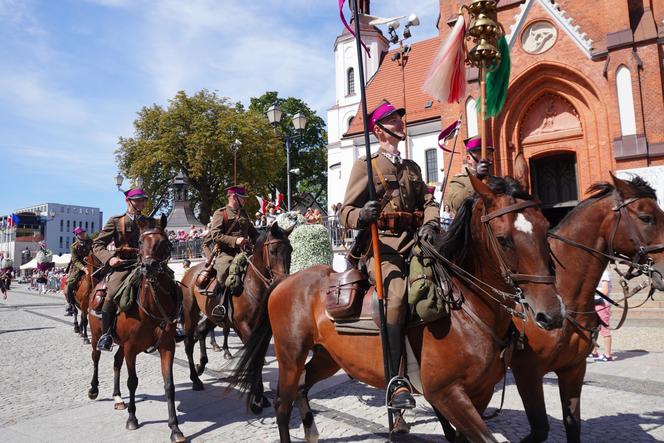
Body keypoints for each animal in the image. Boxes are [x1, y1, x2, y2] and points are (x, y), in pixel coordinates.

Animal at [87, 216, 187, 443]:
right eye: (141, 242)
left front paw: (175, 428)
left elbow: (169, 385)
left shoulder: (167, 347)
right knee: (96, 357)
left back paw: (117, 397)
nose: (149, 266)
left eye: (164, 242)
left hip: (121, 345)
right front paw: (132, 419)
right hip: (97, 335)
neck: (151, 305)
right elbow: (132, 381)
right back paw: (94, 389)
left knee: (116, 362)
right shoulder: (131, 348)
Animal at [179, 222, 290, 412]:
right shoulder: (244, 328)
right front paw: (257, 399)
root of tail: (191, 271)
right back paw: (195, 379)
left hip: (212, 315)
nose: (283, 281)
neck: (253, 287)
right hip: (190, 313)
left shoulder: (263, 331)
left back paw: (202, 365)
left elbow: (259, 359)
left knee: (201, 331)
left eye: (290, 250)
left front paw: (260, 397)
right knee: (188, 343)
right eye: (273, 251)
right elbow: (253, 359)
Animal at [231, 174, 564, 443]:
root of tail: (285, 281)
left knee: (302, 387)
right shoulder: (447, 394)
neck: (467, 309)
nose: (551, 313)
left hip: (328, 358)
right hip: (290, 356)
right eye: (504, 239)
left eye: (546, 228)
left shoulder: (479, 395)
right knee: (283, 405)